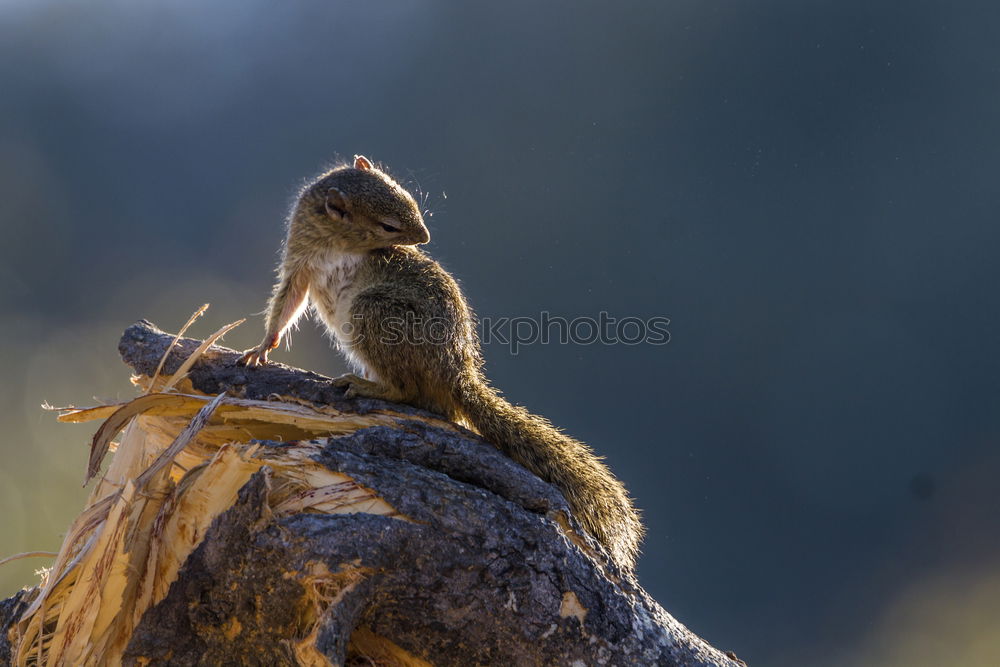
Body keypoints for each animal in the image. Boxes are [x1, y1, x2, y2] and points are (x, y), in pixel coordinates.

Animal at [239, 157, 644, 576]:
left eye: (410, 200)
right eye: (388, 225)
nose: (426, 236)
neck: (334, 240)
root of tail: (455, 375)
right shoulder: (300, 263)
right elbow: (286, 304)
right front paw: (263, 346)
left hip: (375, 312)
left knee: (408, 392)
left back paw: (369, 385)